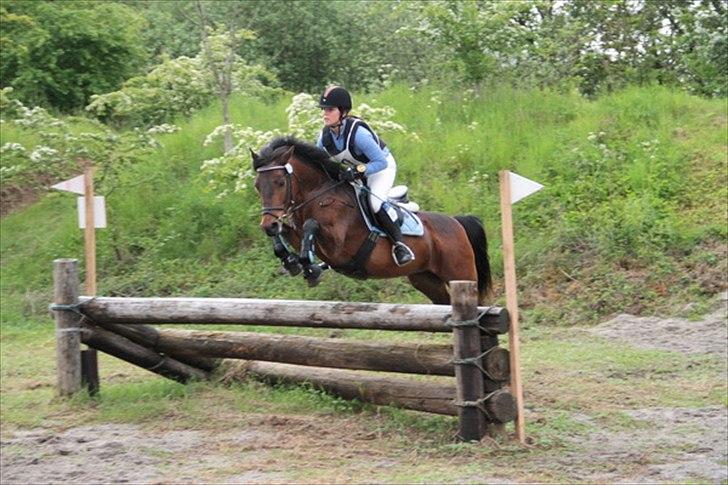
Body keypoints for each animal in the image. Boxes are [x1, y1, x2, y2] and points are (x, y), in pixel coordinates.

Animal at [251, 136, 492, 305]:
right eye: (257, 185)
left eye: (280, 182)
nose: (267, 224)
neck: (320, 195)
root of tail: (456, 223)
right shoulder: (298, 232)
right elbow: (286, 232)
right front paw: (291, 261)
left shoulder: (336, 245)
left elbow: (311, 225)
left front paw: (310, 268)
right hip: (425, 279)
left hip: (460, 274)